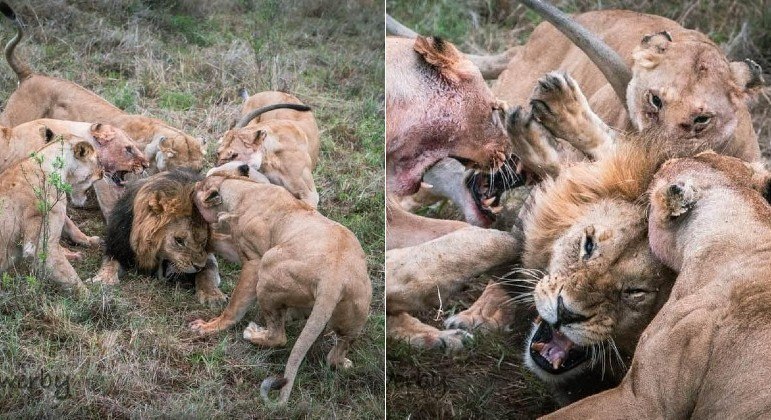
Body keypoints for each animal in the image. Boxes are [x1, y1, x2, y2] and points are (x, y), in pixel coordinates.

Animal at [0, 135, 102, 296]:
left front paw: (89, 240)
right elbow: (69, 275)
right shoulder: (39, 246)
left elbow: (70, 224)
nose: (103, 173)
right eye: (98, 159)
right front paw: (90, 297)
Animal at [89, 169, 226, 306]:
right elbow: (110, 263)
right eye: (179, 241)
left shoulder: (207, 256)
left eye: (203, 241)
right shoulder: (117, 247)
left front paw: (212, 295)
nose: (198, 266)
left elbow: (207, 272)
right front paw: (103, 279)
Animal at [185, 173, 370, 404]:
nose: (190, 186)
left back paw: (253, 333)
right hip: (357, 313)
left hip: (267, 268)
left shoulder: (253, 260)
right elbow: (216, 240)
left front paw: (210, 326)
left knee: (278, 337)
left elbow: (235, 306)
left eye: (199, 186)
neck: (242, 190)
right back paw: (340, 360)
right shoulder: (237, 248)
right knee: (335, 354)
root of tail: (333, 278)